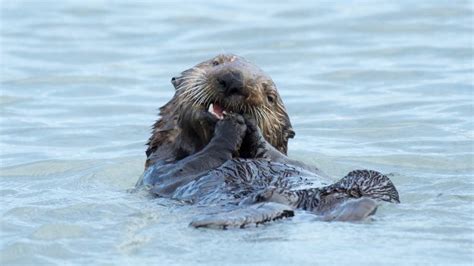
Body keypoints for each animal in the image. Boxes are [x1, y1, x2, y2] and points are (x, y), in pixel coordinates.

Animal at [135, 54, 398, 229]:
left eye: (269, 96)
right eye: (217, 62)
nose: (234, 80)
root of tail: (292, 200)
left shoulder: (300, 164)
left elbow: (287, 159)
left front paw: (251, 127)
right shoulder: (161, 171)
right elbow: (198, 160)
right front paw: (233, 124)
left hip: (373, 179)